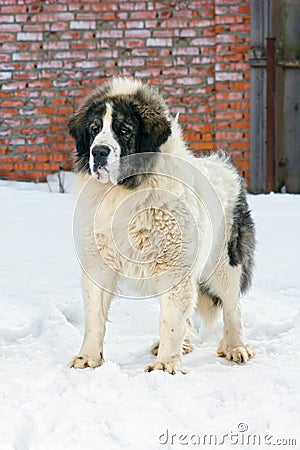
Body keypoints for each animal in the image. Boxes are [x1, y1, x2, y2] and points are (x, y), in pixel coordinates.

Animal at [68, 76, 255, 372]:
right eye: (95, 129)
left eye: (124, 130)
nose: (99, 151)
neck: (126, 191)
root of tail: (224, 167)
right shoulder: (98, 263)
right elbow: (95, 316)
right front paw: (88, 358)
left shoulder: (175, 265)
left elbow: (171, 320)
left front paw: (166, 366)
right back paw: (186, 345)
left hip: (225, 262)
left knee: (231, 304)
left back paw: (236, 347)